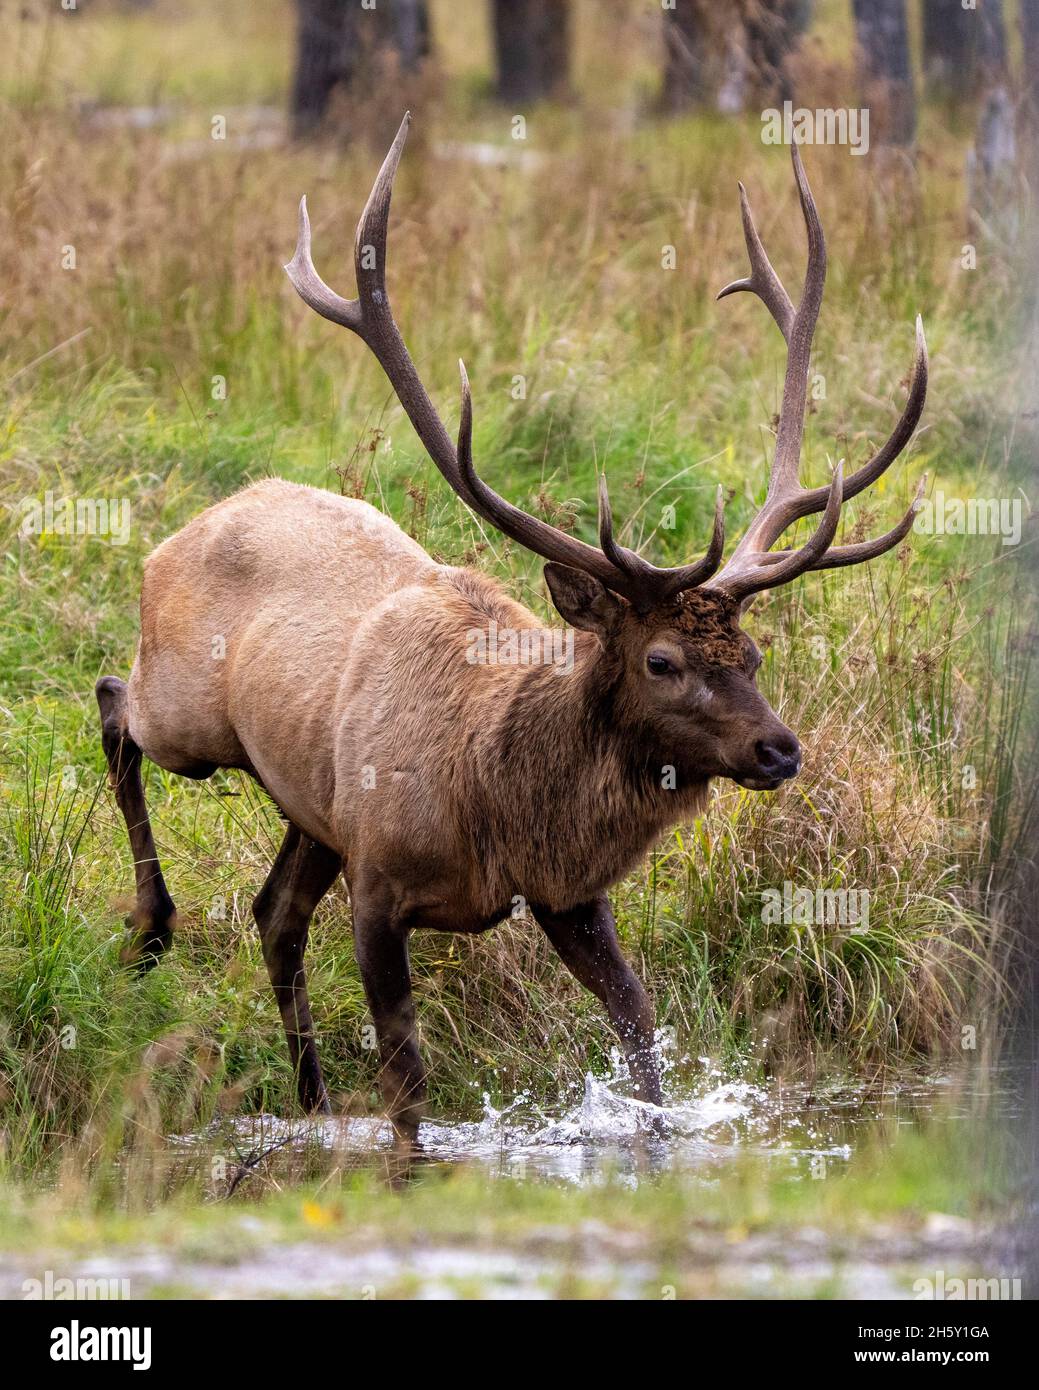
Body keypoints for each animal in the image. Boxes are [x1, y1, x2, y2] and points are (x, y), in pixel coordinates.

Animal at [96, 115, 927, 1152]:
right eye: (661, 661)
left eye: (753, 654)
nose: (780, 750)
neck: (495, 799)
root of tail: (198, 521)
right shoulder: (380, 877)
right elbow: (409, 1080)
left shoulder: (567, 893)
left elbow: (641, 1033)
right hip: (191, 719)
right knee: (115, 705)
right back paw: (150, 930)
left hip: (310, 802)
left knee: (272, 912)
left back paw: (314, 1103)